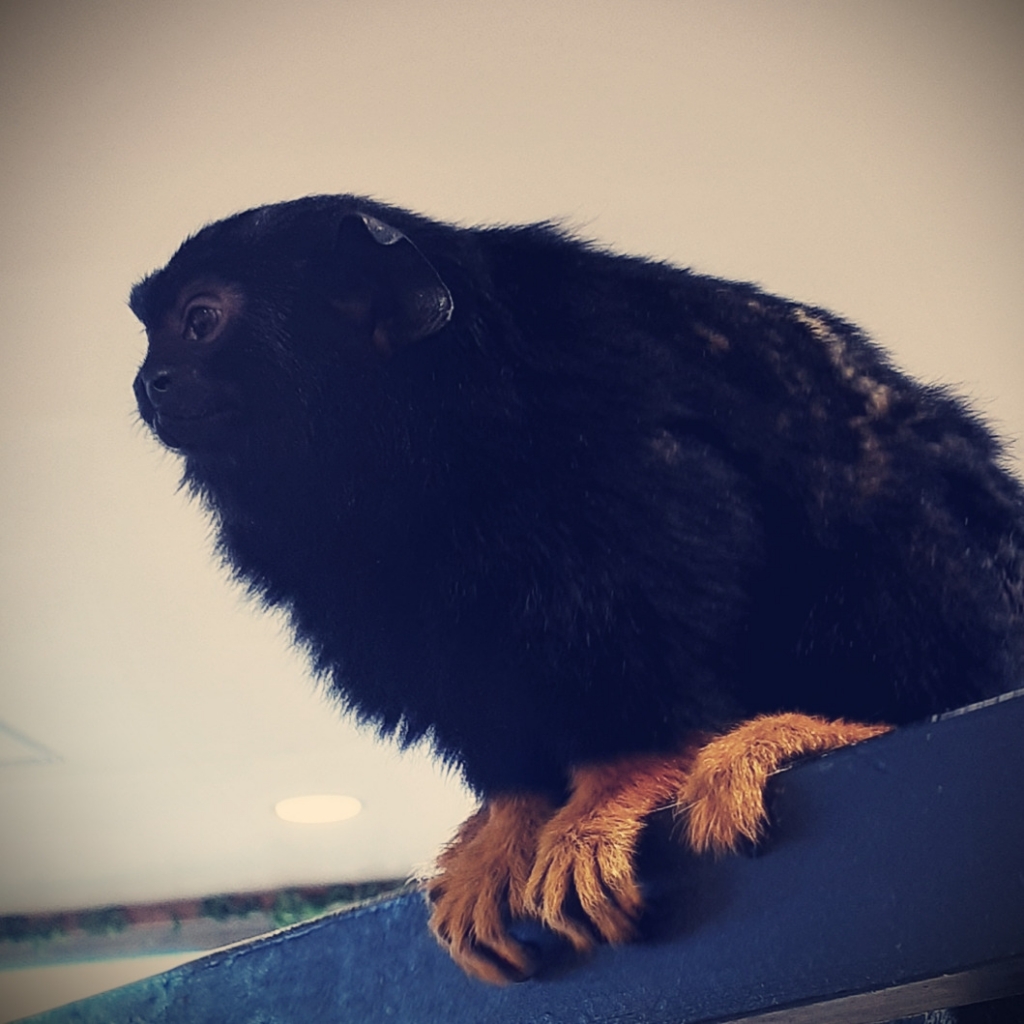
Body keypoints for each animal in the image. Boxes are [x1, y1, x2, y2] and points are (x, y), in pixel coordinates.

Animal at [131, 195, 1024, 984]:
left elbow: (654, 560)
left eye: (202, 320)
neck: (407, 432)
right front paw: (513, 813)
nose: (151, 381)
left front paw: (619, 778)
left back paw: (839, 719)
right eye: (151, 331)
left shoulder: (587, 412)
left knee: (876, 487)